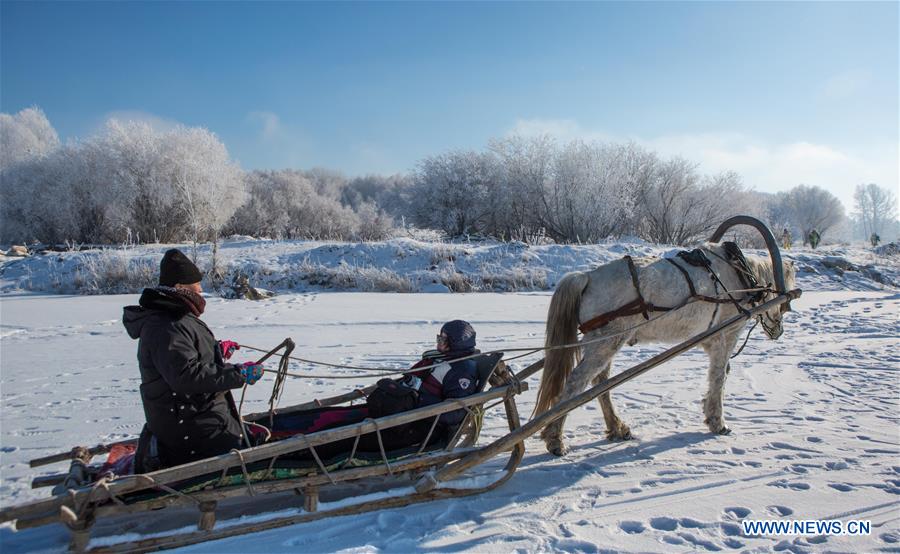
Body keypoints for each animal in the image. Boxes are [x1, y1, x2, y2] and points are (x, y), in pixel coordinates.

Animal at [536, 244, 796, 454]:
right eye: (784, 304)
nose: (779, 330)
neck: (739, 276)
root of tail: (586, 276)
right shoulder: (725, 336)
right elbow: (719, 376)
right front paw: (717, 421)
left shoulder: (710, 339)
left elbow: (721, 375)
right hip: (605, 342)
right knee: (577, 382)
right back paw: (555, 438)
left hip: (604, 341)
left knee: (600, 382)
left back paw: (617, 428)